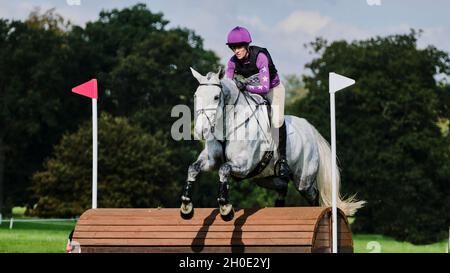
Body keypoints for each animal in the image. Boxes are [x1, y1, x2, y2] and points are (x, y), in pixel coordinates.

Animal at [180, 67, 366, 220]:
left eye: (216, 97)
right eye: (196, 96)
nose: (200, 131)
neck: (229, 125)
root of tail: (311, 130)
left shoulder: (244, 164)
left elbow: (224, 169)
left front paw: (225, 208)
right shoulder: (211, 160)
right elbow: (193, 168)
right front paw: (186, 206)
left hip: (304, 180)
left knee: (313, 195)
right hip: (265, 178)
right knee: (282, 186)